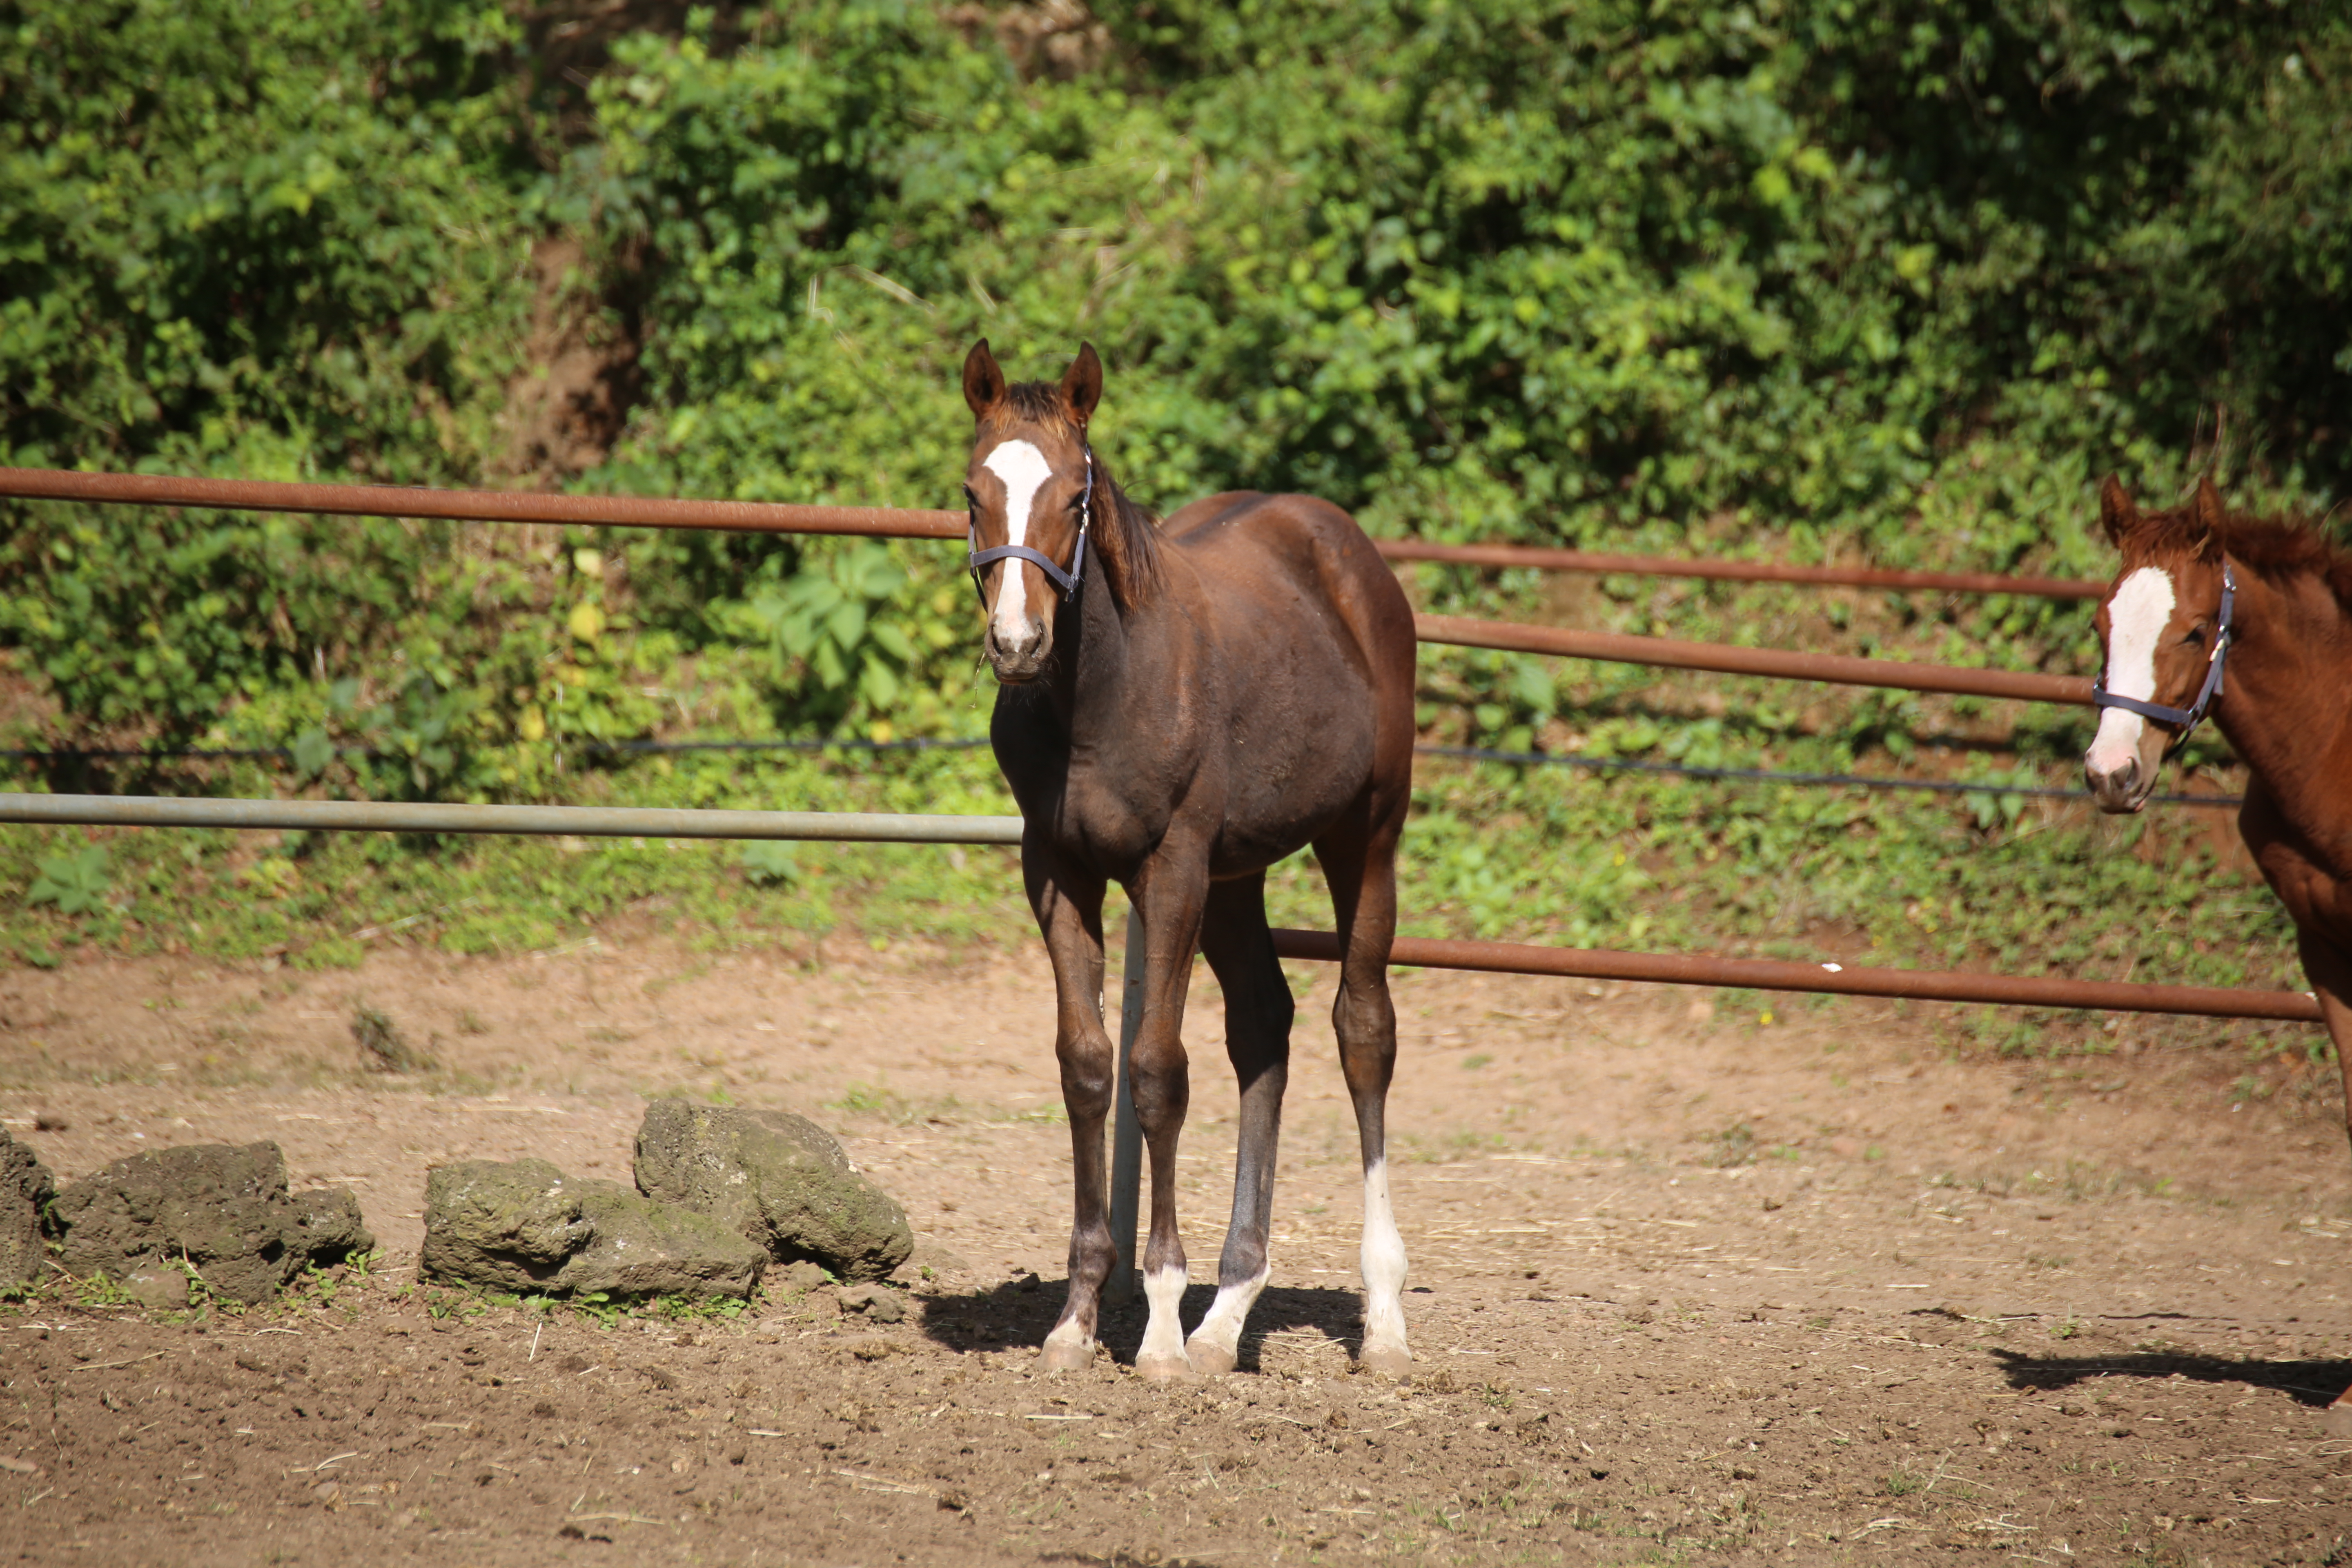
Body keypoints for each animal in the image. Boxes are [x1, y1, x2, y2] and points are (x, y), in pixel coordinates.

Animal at [955, 341, 1411, 1373]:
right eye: (971, 493)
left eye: (1075, 495)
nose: (1017, 643)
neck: (1099, 700)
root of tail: (1345, 550)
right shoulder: (1057, 871)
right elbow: (1087, 1066)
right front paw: (1078, 1316)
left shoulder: (1170, 868)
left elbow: (1158, 1070)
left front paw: (1159, 1321)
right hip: (1237, 875)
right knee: (1264, 1027)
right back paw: (1228, 1312)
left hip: (1363, 835)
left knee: (1362, 1029)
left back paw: (1382, 1315)